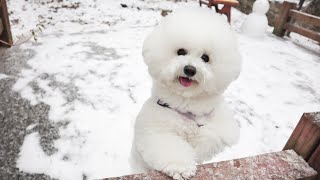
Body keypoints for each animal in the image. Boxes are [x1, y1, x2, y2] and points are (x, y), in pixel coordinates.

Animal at [130, 7, 240, 179]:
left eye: (205, 58)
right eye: (181, 51)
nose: (190, 69)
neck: (186, 101)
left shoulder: (224, 126)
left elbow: (210, 137)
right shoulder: (156, 131)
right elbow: (171, 148)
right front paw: (181, 167)